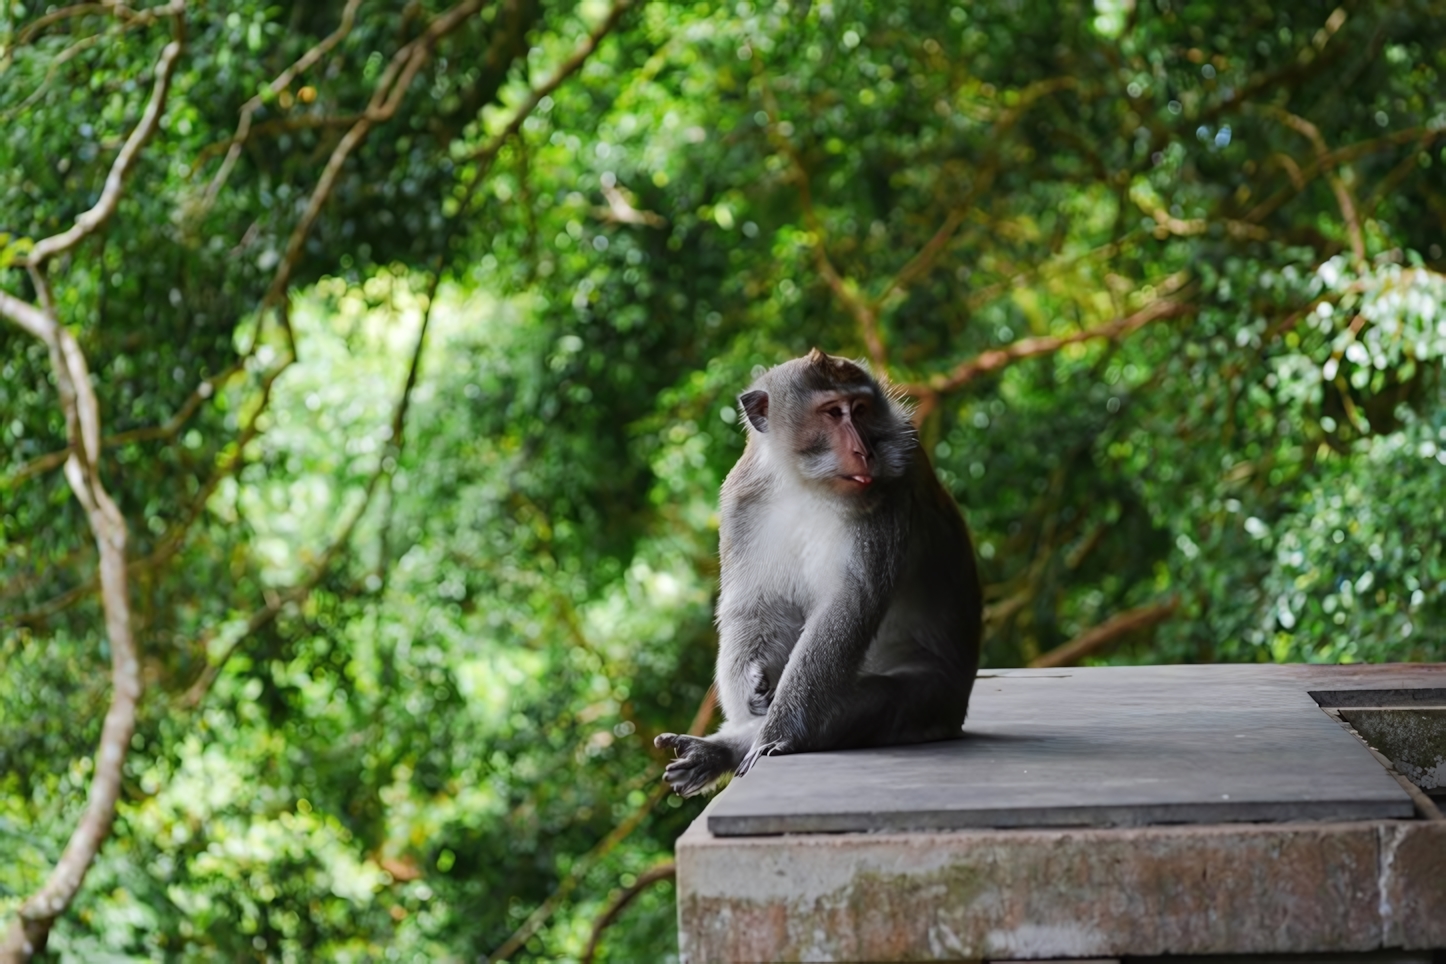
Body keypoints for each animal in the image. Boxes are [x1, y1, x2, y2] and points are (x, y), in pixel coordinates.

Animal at [659, 351, 983, 797]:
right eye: (832, 413)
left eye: (860, 410)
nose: (864, 451)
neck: (806, 486)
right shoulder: (742, 498)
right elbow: (755, 604)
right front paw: (752, 682)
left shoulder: (891, 490)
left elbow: (849, 605)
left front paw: (775, 734)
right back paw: (716, 751)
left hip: (935, 700)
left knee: (875, 701)